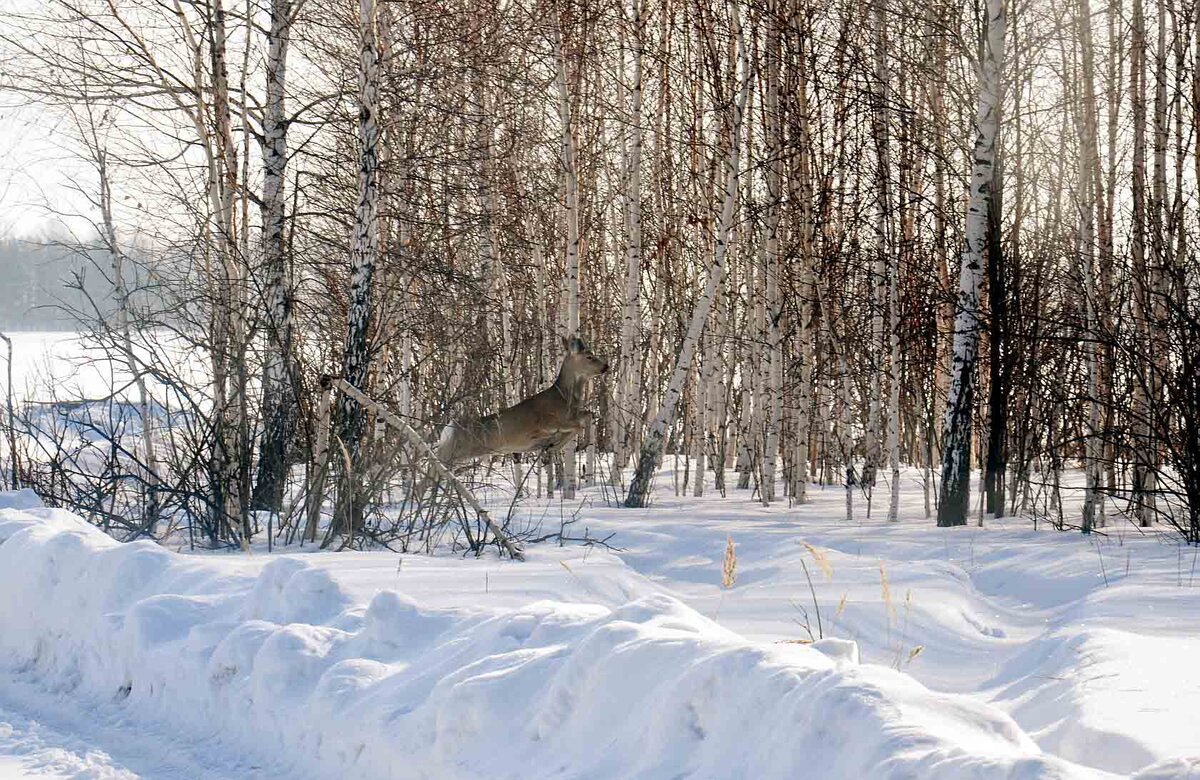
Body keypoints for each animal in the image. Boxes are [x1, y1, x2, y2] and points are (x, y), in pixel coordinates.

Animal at [434, 336, 609, 465]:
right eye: (589, 357)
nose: (606, 366)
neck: (565, 398)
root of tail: (448, 429)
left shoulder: (572, 415)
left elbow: (589, 414)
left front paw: (579, 445)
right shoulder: (546, 422)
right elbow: (578, 426)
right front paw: (555, 447)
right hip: (455, 452)